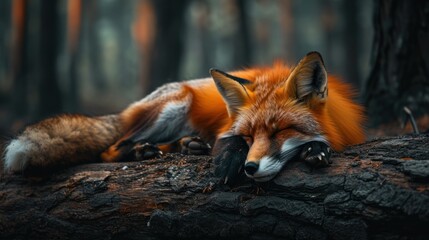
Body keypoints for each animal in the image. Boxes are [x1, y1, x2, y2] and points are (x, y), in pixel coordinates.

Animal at [3, 52, 364, 183]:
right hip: (173, 106)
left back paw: (183, 146)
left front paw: (315, 150)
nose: (250, 167)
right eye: (248, 136)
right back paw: (143, 151)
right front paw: (228, 163)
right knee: (111, 147)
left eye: (280, 131)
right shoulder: (227, 130)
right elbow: (227, 142)